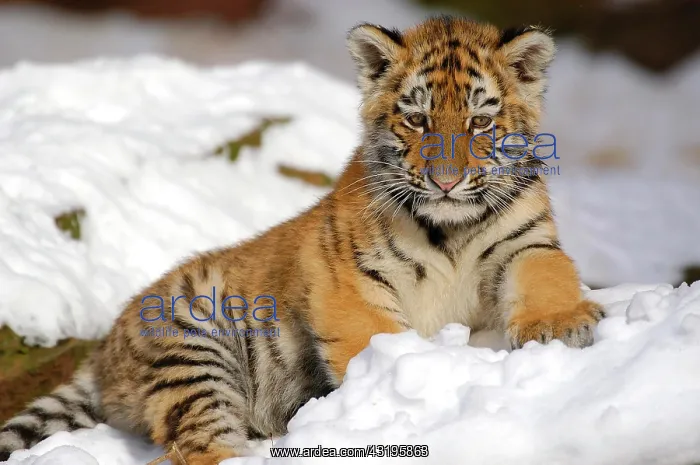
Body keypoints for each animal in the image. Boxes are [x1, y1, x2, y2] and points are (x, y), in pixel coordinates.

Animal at [0, 16, 604, 465]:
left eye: (480, 122)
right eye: (417, 120)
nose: (447, 182)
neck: (449, 226)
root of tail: (103, 351)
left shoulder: (526, 244)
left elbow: (545, 277)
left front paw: (559, 325)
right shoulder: (350, 278)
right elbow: (373, 339)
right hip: (191, 343)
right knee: (195, 443)